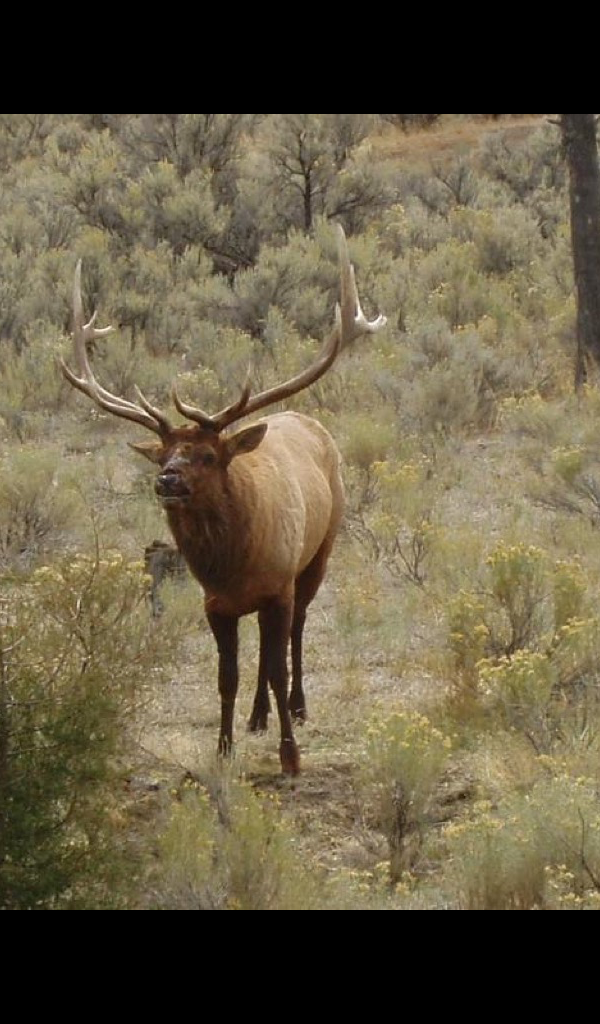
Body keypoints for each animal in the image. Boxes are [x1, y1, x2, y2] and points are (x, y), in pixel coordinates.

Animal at [61, 227, 386, 775]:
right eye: (163, 453)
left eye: (209, 455)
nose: (167, 480)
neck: (234, 563)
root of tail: (306, 420)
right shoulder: (215, 604)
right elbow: (227, 676)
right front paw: (224, 747)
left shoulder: (279, 587)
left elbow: (278, 666)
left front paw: (290, 757)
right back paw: (257, 717)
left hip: (319, 551)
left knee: (296, 634)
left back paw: (298, 707)